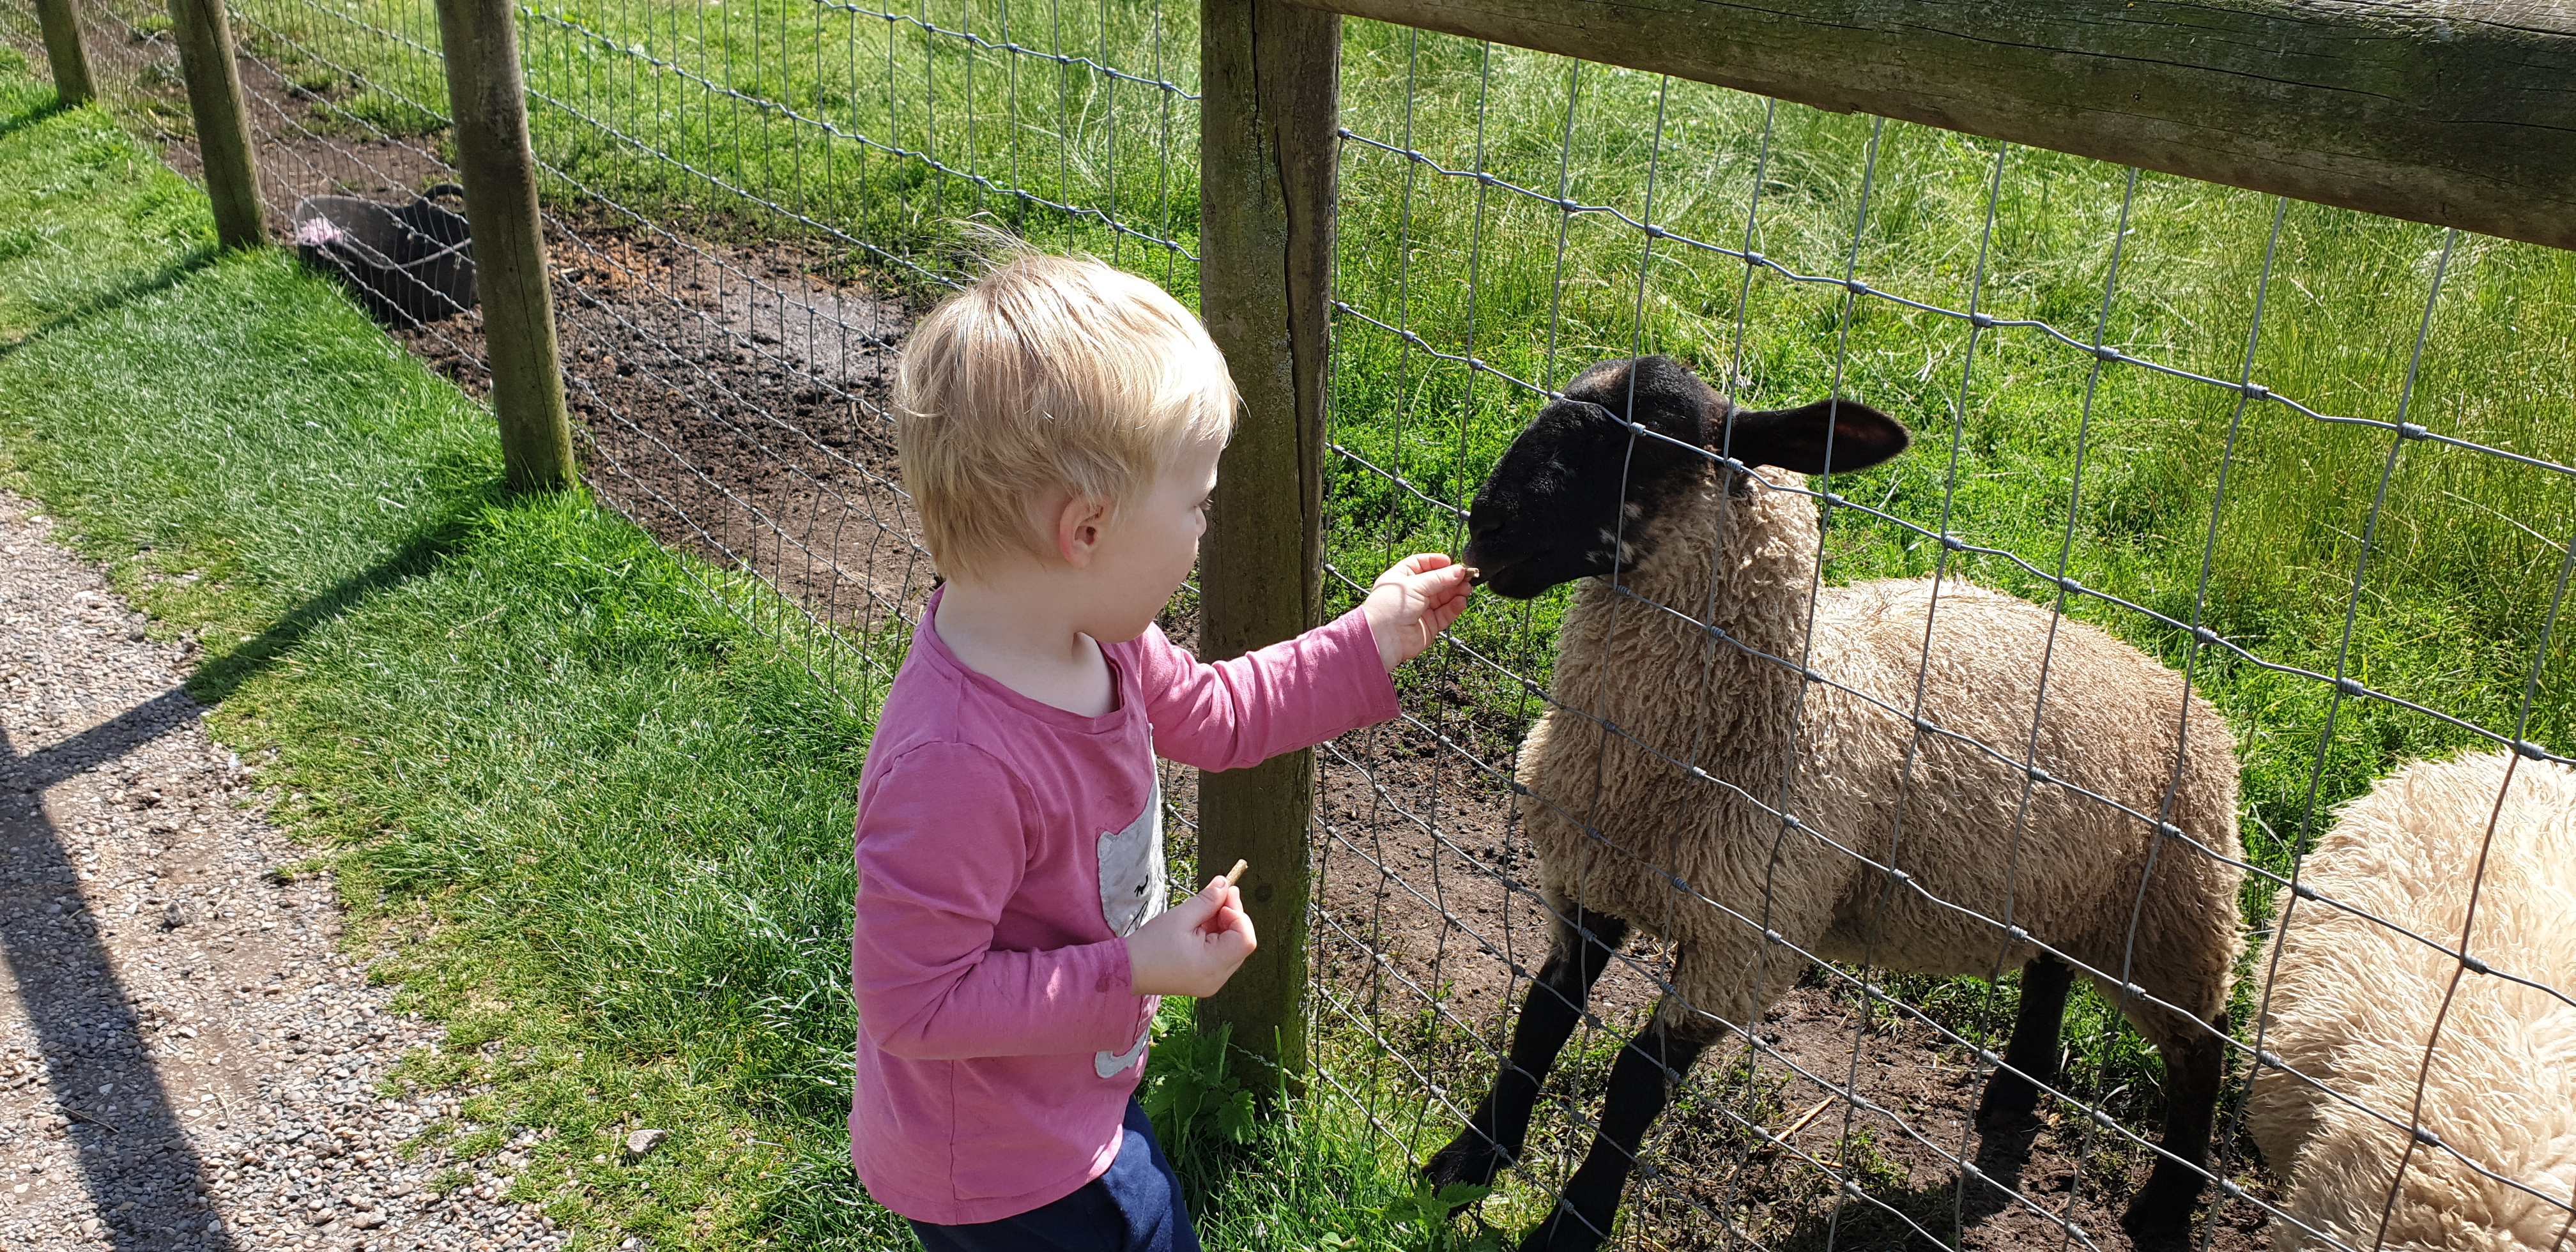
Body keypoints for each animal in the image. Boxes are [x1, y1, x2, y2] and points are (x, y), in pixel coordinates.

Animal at [1429, 356, 2247, 1250]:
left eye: (1643, 440)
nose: (1485, 526)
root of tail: (2173, 683)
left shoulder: (1748, 941)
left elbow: (1636, 1080)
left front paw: (1575, 1221)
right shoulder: (1588, 876)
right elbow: (1542, 1016)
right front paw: (1467, 1160)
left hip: (2171, 913)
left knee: (2204, 1052)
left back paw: (2166, 1206)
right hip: (2069, 885)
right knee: (2051, 969)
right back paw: (2014, 1093)